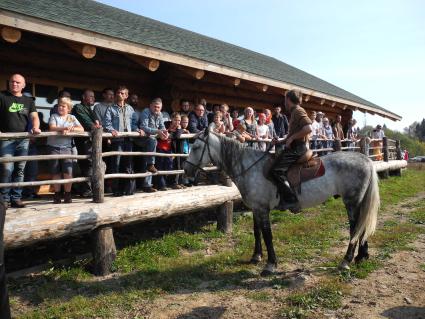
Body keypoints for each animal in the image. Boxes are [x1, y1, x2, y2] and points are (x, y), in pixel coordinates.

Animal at [182, 130, 378, 276]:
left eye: (196, 147)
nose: (186, 171)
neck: (250, 167)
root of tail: (366, 160)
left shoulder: (262, 209)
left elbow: (267, 235)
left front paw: (270, 265)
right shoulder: (256, 208)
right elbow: (257, 232)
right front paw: (256, 256)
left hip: (351, 202)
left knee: (355, 228)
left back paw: (346, 261)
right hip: (357, 203)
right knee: (360, 227)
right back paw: (362, 256)